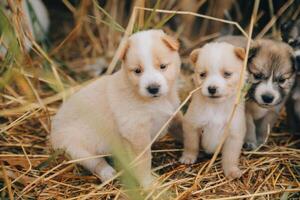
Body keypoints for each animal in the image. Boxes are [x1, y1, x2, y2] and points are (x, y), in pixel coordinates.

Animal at [49, 29, 180, 188]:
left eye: (163, 66)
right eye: (137, 71)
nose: (153, 88)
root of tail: (52, 132)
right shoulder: (135, 132)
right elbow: (143, 160)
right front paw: (148, 183)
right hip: (76, 149)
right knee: (95, 163)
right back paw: (108, 173)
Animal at [180, 42, 246, 180]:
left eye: (227, 74)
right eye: (202, 74)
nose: (211, 89)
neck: (216, 107)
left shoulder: (234, 134)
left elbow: (230, 156)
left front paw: (231, 171)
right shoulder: (191, 125)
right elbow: (191, 144)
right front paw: (188, 157)